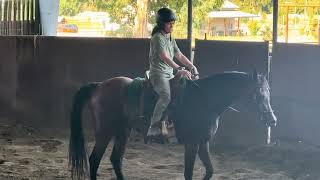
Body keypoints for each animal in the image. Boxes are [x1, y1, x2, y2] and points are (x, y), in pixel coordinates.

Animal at [68, 71, 278, 180]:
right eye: (259, 94)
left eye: (269, 92)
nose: (273, 120)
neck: (205, 99)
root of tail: (99, 86)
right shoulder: (192, 143)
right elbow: (188, 173)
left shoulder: (203, 142)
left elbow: (209, 170)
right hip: (105, 132)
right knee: (95, 159)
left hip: (123, 131)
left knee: (115, 159)